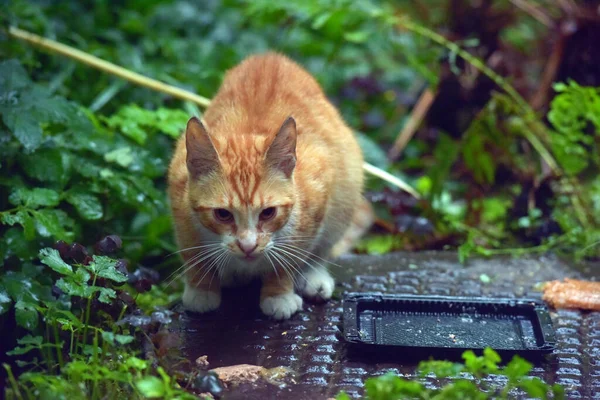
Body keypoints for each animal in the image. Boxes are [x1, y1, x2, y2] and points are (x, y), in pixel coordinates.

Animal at [169, 53, 372, 320]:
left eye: (268, 213)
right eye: (222, 214)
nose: (247, 246)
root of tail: (271, 56)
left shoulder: (316, 196)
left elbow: (291, 256)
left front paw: (278, 295)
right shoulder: (179, 200)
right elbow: (191, 252)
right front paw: (201, 289)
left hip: (346, 187)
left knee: (324, 246)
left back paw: (314, 276)